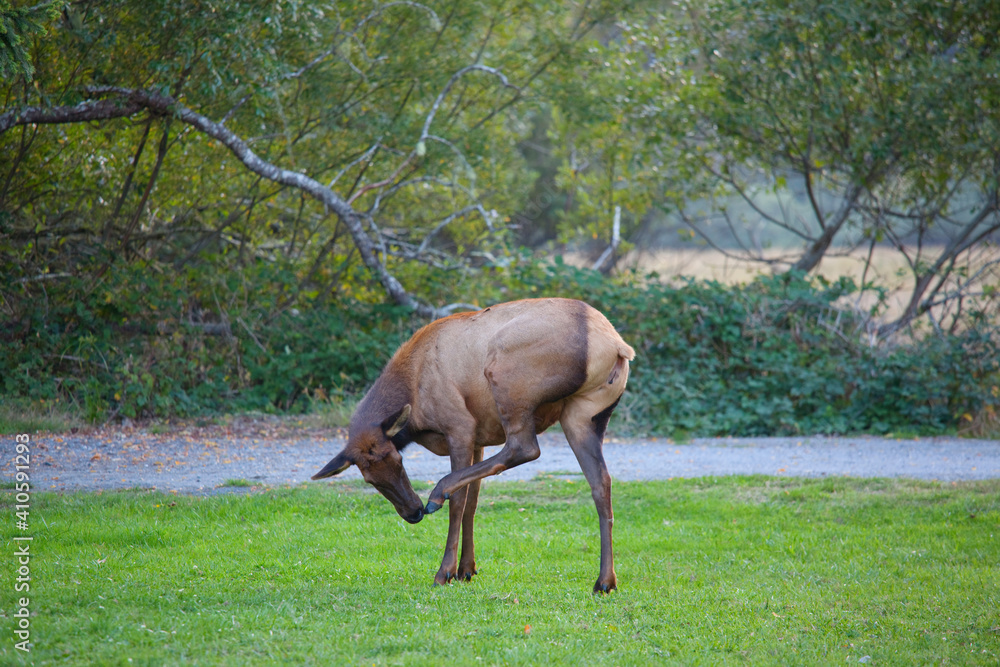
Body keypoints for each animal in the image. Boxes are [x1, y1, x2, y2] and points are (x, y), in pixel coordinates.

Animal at [311, 297, 635, 593]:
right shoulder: (480, 439)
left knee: (525, 447)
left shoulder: (461, 427)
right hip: (583, 415)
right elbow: (472, 502)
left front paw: (445, 571)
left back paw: (437, 494)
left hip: (507, 380)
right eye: (369, 478)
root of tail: (616, 346)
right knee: (600, 482)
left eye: (399, 460)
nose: (414, 512)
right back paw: (605, 580)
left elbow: (459, 502)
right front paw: (466, 568)